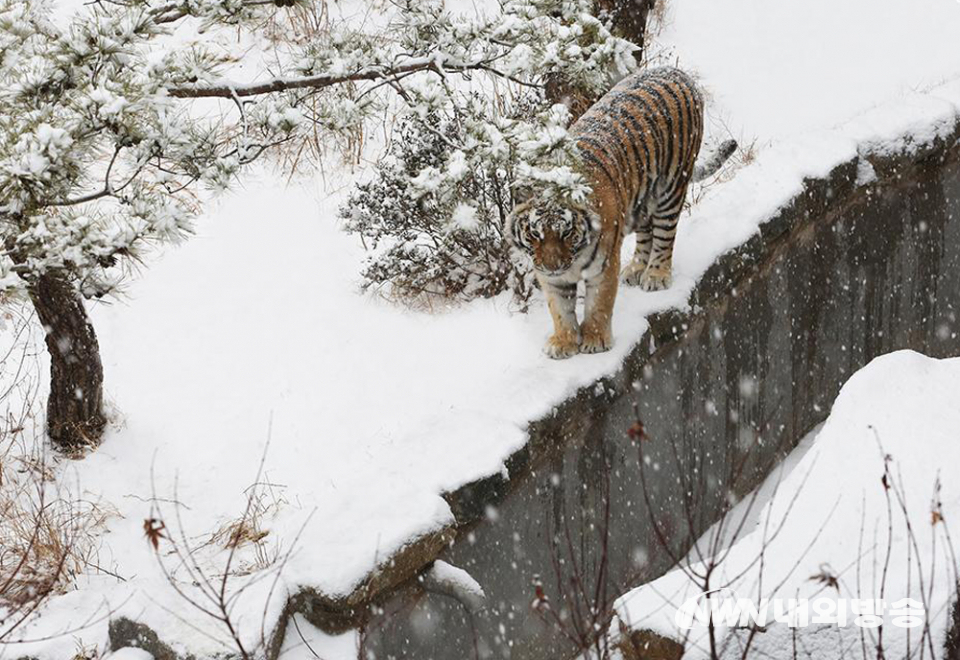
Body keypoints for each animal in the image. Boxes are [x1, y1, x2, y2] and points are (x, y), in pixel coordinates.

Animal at [510, 67, 736, 358]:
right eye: (535, 234)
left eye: (567, 232)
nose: (554, 266)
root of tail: (677, 71)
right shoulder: (550, 279)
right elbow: (559, 309)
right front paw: (563, 342)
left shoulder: (603, 264)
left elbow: (599, 304)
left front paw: (595, 340)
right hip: (640, 197)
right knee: (646, 234)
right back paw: (637, 268)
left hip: (671, 186)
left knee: (664, 236)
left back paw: (656, 275)